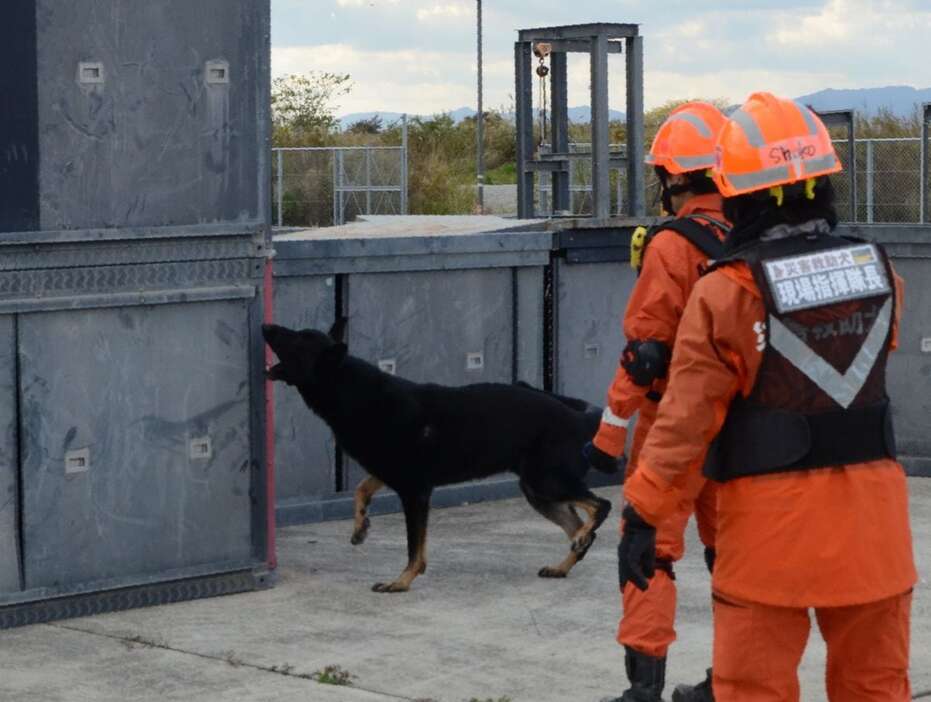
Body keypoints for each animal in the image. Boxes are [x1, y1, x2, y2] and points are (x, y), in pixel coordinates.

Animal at [264, 324, 620, 592]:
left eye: (298, 340)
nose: (266, 326)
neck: (354, 391)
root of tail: (580, 418)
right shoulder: (391, 474)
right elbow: (361, 490)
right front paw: (360, 526)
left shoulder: (414, 491)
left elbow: (414, 546)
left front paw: (402, 581)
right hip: (539, 492)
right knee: (581, 526)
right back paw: (564, 562)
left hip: (545, 481)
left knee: (600, 506)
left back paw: (580, 536)